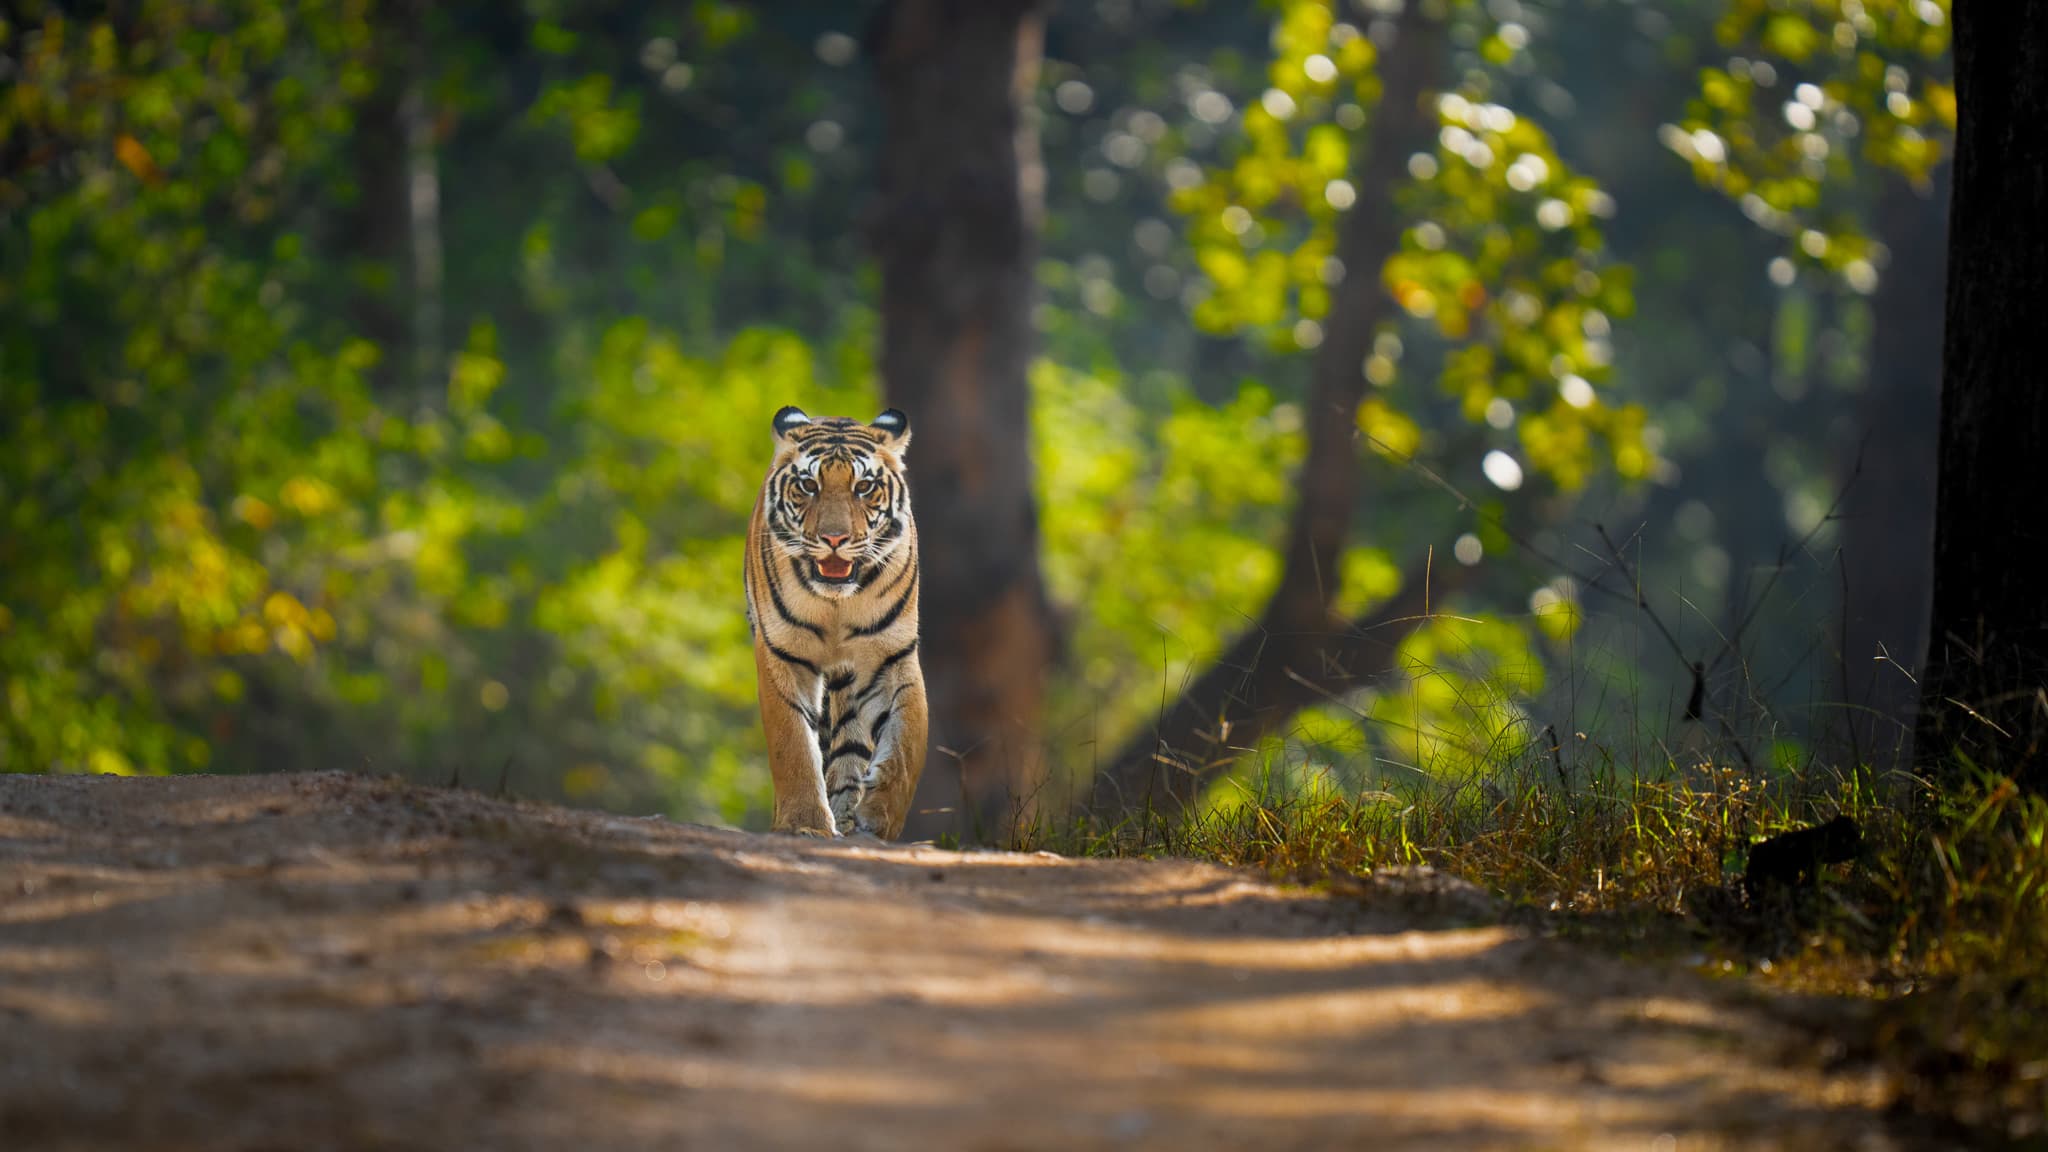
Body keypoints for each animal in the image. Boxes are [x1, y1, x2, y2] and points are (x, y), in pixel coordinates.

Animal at [743, 405, 927, 840]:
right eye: (809, 485)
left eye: (864, 487)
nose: (834, 539)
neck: (835, 604)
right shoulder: (783, 654)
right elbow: (793, 743)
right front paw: (804, 824)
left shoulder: (891, 656)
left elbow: (907, 744)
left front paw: (879, 818)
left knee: (849, 753)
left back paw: (848, 820)